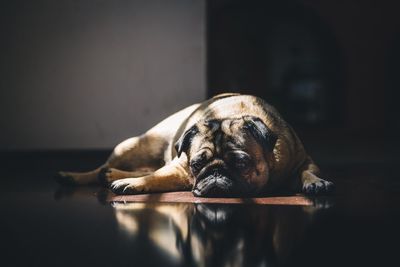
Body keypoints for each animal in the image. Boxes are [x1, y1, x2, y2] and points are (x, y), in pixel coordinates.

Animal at [56, 93, 334, 197]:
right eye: (197, 164)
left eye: (241, 163)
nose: (216, 173)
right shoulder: (180, 169)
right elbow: (155, 178)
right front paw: (133, 184)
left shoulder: (302, 160)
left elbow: (308, 171)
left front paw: (315, 182)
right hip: (129, 147)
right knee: (103, 168)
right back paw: (77, 176)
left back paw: (111, 175)